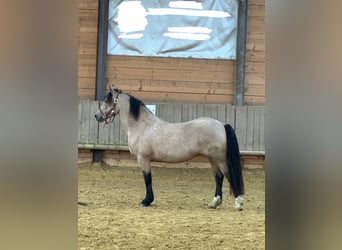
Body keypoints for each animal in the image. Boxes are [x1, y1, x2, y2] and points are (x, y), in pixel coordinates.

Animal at [94, 85, 243, 210]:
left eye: (107, 100)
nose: (97, 116)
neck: (142, 125)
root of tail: (222, 124)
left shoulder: (143, 159)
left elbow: (147, 179)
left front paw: (146, 201)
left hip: (220, 159)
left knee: (229, 175)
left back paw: (238, 203)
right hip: (212, 158)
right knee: (219, 178)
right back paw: (214, 203)